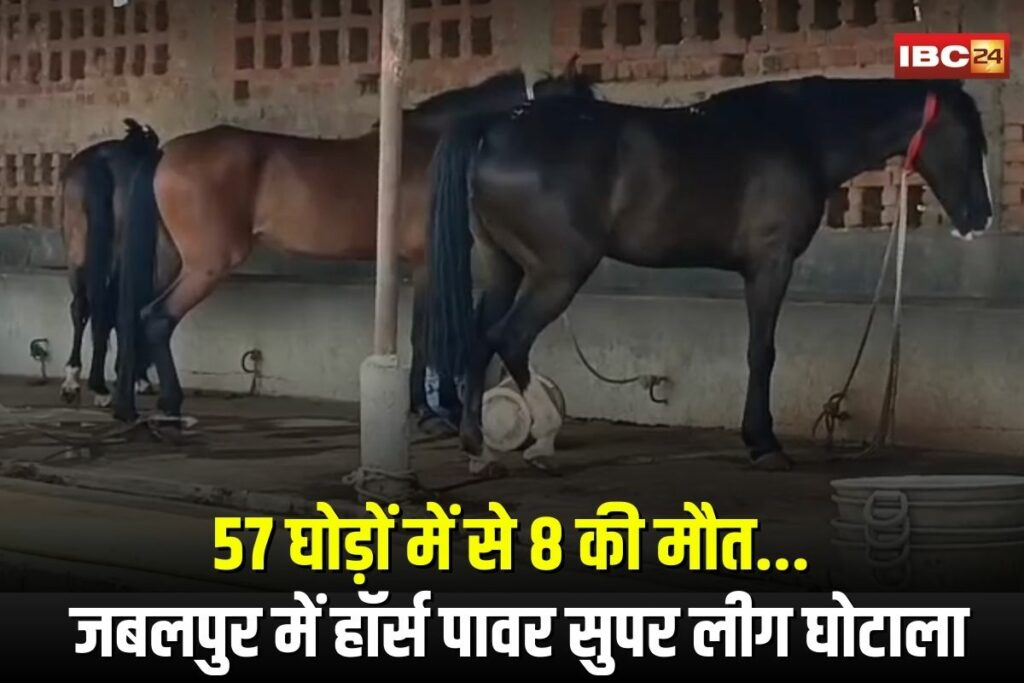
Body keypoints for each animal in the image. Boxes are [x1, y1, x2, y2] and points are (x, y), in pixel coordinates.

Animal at [59, 118, 162, 406]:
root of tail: (99, 165)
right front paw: (137, 378)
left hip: (76, 248)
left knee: (82, 306)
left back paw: (74, 380)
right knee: (108, 308)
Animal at [112, 61, 596, 428]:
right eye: (583, 111)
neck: (433, 147)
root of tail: (165, 152)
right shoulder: (426, 262)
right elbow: (424, 335)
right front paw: (433, 409)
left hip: (170, 259)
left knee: (137, 314)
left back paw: (131, 402)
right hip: (207, 265)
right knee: (158, 318)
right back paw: (171, 405)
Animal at [424, 76, 993, 477]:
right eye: (968, 137)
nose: (981, 217)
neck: (800, 134)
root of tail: (494, 129)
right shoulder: (770, 266)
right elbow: (761, 352)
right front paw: (764, 445)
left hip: (506, 267)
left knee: (480, 340)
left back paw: (480, 450)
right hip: (556, 273)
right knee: (510, 339)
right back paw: (541, 440)